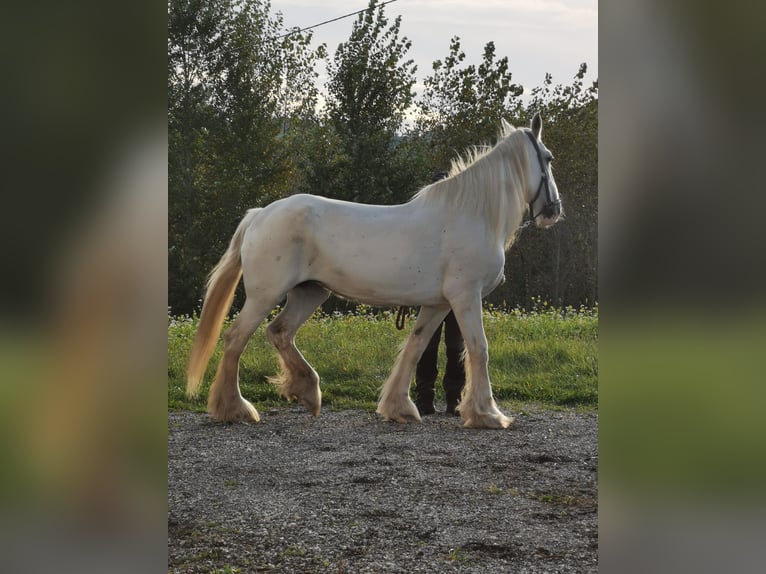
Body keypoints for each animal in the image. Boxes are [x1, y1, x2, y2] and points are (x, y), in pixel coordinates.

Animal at [186, 113, 562, 429]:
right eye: (549, 157)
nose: (554, 211)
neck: (471, 214)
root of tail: (260, 214)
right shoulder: (465, 297)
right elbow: (478, 348)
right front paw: (488, 414)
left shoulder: (438, 303)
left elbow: (415, 347)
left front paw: (399, 407)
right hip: (265, 295)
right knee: (236, 339)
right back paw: (234, 408)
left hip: (310, 292)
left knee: (280, 332)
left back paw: (307, 391)